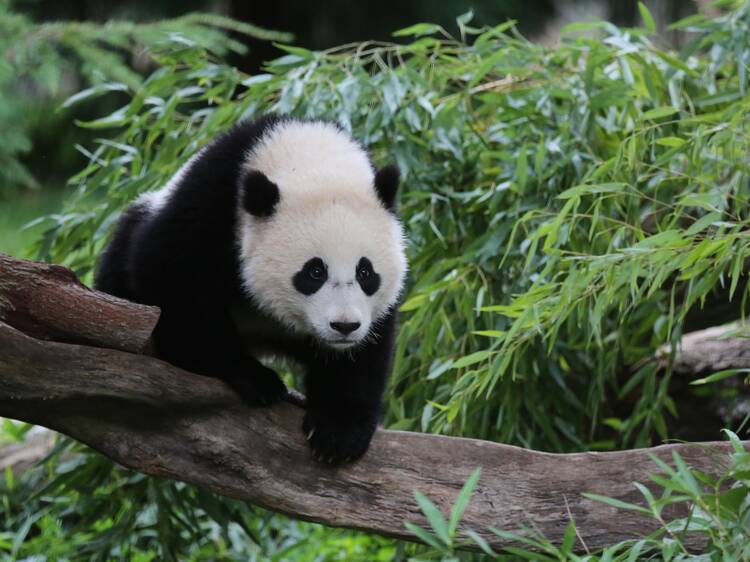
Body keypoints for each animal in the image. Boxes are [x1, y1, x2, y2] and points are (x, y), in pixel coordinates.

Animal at [97, 115, 412, 464]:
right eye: (314, 272)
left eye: (365, 272)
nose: (344, 326)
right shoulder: (211, 202)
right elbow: (173, 282)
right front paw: (254, 378)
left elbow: (364, 353)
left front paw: (338, 432)